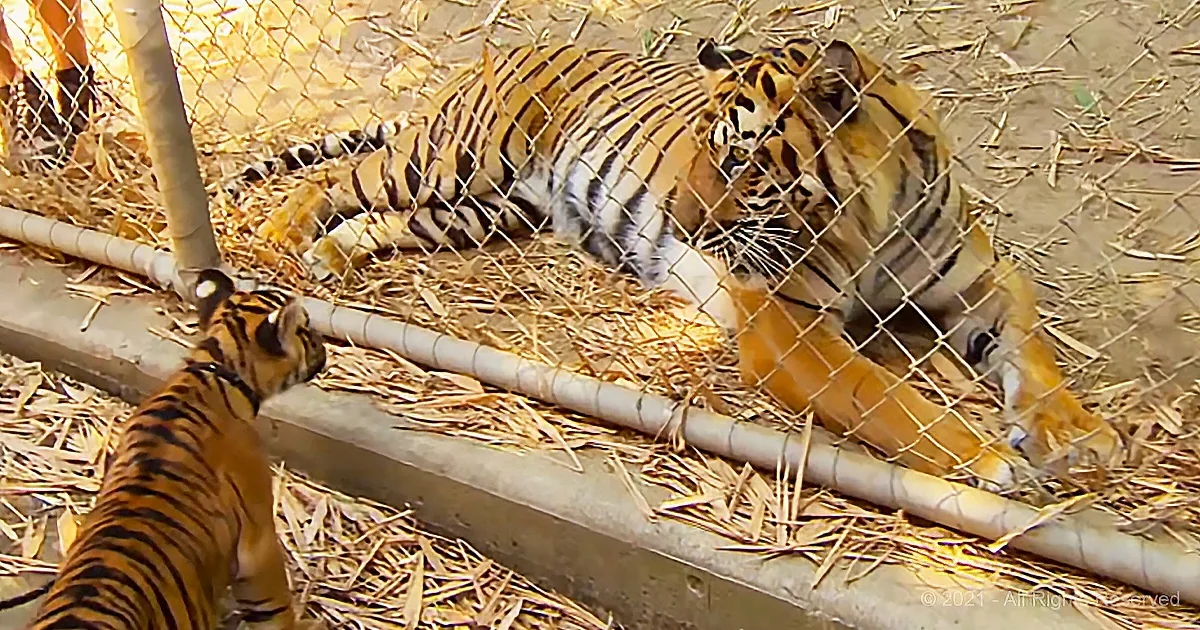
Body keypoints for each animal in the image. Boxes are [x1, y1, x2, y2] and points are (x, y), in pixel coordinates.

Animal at [224, 39, 1121, 489]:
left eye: (738, 160)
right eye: (699, 147)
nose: (682, 223)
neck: (879, 215)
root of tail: (503, 47)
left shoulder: (984, 283)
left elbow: (1035, 352)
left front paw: (1078, 434)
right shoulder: (787, 330)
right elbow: (890, 400)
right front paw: (990, 459)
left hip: (487, 208)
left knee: (382, 216)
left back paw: (333, 250)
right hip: (453, 159)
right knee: (336, 178)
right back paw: (278, 236)